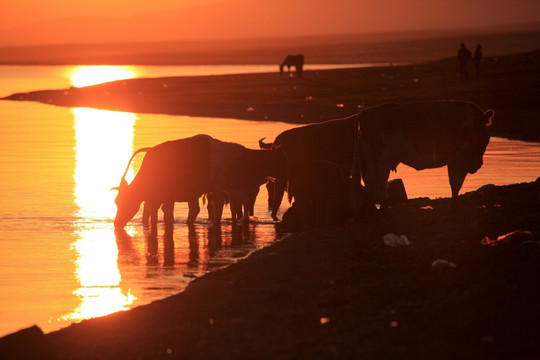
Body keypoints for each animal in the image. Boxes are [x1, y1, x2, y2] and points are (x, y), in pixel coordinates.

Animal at [358, 100, 494, 210]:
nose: (479, 164)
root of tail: (366, 113)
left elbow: (454, 183)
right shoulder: (459, 159)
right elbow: (456, 182)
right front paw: (455, 206)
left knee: (370, 181)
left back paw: (373, 208)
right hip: (382, 160)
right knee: (378, 181)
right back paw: (384, 208)